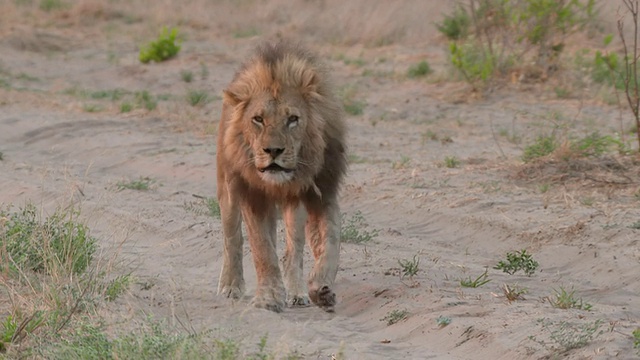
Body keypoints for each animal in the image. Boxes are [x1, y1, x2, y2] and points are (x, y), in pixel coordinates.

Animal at [215, 40, 348, 312]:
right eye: (258, 119)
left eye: (293, 119)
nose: (273, 151)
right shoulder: (252, 196)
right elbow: (262, 249)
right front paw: (268, 298)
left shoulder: (323, 192)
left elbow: (331, 243)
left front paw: (321, 288)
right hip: (228, 188)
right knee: (232, 238)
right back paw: (231, 285)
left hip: (294, 208)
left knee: (292, 251)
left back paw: (297, 291)